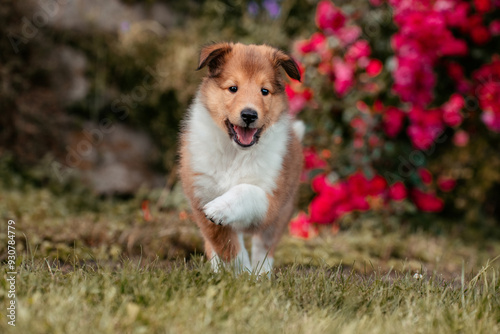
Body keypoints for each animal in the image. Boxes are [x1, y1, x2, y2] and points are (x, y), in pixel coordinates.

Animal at [180, 42, 304, 274]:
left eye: (264, 91)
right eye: (233, 88)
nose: (249, 115)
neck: (235, 154)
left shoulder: (270, 201)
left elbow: (245, 190)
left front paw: (219, 207)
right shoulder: (200, 195)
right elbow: (226, 245)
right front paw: (239, 273)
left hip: (280, 215)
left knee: (264, 248)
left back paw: (261, 275)